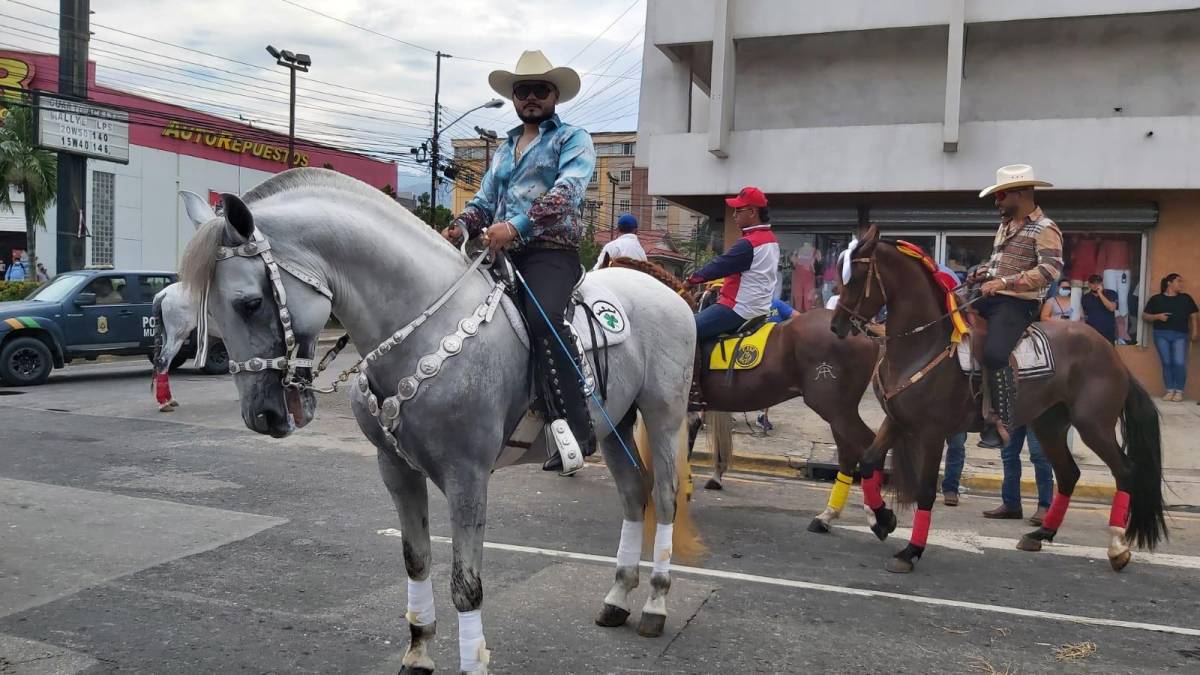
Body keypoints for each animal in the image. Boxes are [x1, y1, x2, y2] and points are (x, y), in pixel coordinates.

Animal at [177, 169, 700, 672]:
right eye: (211, 312)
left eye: (249, 303)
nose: (261, 415)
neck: (424, 328)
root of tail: (671, 294)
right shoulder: (396, 471)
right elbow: (417, 561)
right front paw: (418, 652)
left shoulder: (466, 477)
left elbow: (466, 586)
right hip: (615, 426)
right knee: (633, 494)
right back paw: (618, 597)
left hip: (663, 415)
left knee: (664, 498)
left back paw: (655, 604)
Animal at [604, 254, 888, 533]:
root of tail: (863, 333)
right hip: (839, 409)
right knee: (849, 452)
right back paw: (829, 516)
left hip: (833, 406)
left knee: (864, 446)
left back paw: (876, 515)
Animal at [835, 227, 1161, 571]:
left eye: (856, 277)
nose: (836, 325)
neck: (923, 344)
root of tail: (1112, 354)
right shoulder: (897, 420)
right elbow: (868, 462)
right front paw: (882, 519)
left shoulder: (932, 432)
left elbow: (925, 491)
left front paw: (911, 550)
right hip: (1049, 424)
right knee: (1068, 474)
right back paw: (1040, 534)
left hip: (1093, 425)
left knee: (1124, 471)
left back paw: (1117, 547)